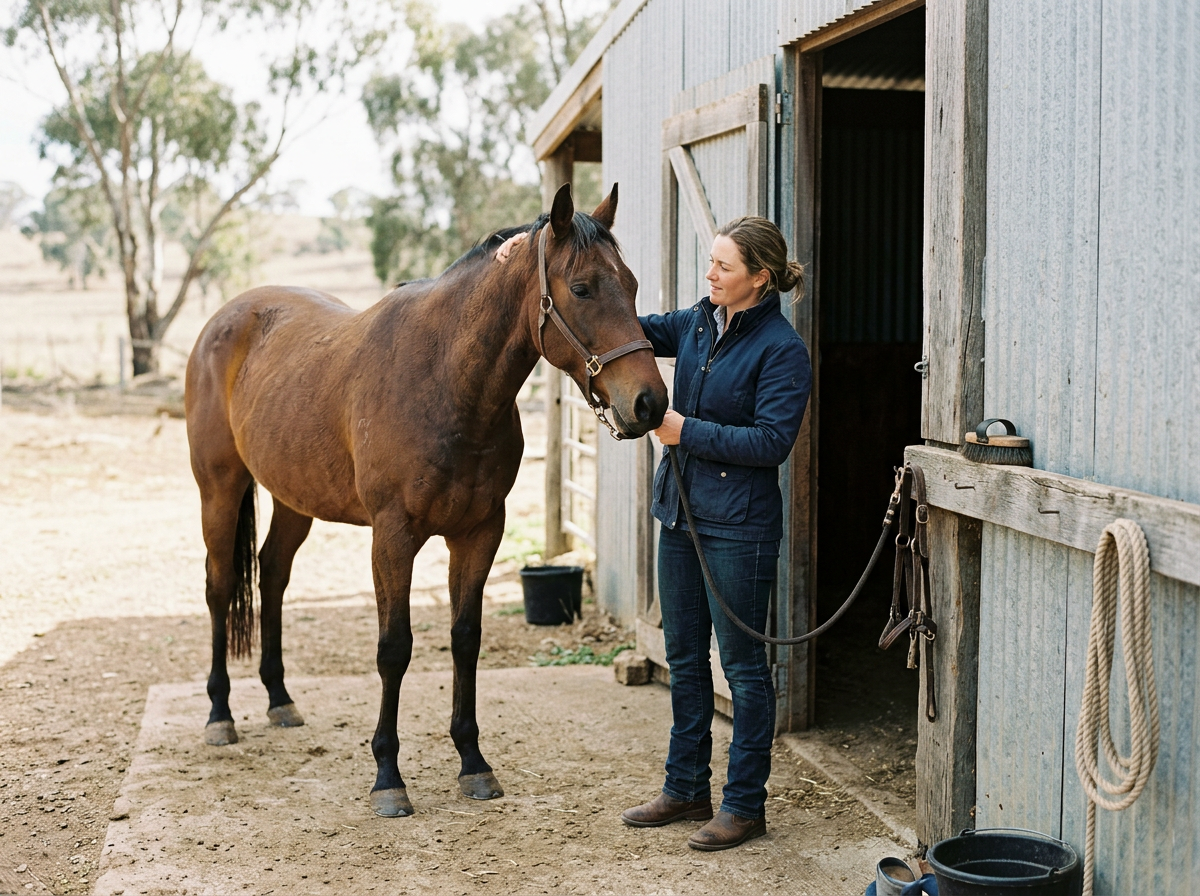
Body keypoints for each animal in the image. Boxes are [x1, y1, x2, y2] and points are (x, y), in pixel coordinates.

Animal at [184, 184, 667, 816]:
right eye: (582, 287)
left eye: (631, 285)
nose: (650, 404)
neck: (446, 381)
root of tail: (224, 320)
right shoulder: (393, 536)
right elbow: (395, 648)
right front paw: (388, 777)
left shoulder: (480, 533)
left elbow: (465, 640)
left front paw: (473, 762)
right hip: (219, 488)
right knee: (219, 589)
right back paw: (220, 714)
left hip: (295, 500)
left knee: (272, 575)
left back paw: (280, 699)